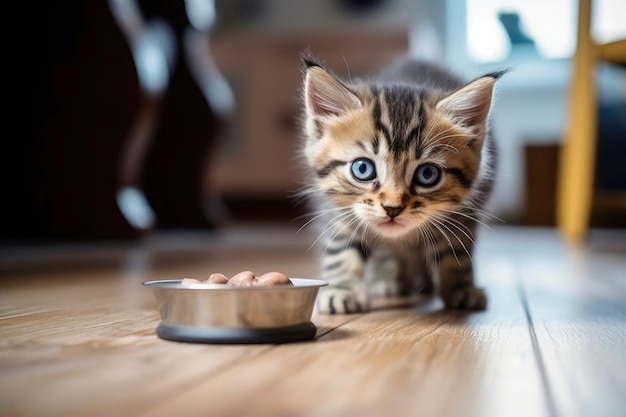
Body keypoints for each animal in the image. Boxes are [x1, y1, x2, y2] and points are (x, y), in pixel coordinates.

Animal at [298, 52, 502, 312]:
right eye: (362, 169)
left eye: (427, 174)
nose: (392, 208)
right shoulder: (336, 210)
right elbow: (341, 249)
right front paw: (342, 290)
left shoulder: (465, 211)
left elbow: (456, 252)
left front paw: (460, 288)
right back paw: (389, 278)